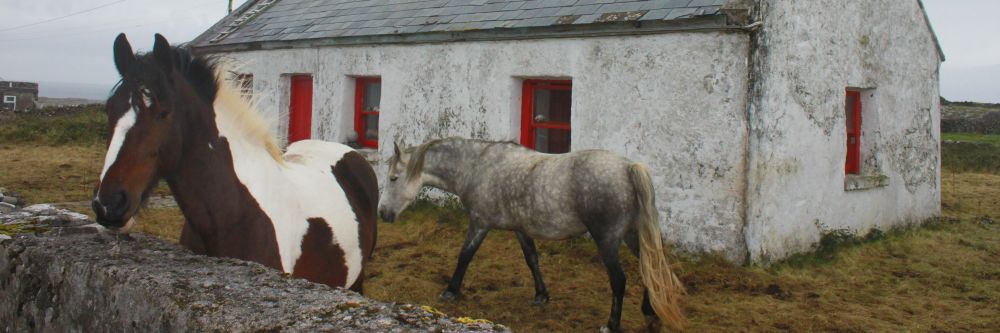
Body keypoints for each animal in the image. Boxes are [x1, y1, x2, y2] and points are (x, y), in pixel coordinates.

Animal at [378, 136, 684, 330]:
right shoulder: (520, 229)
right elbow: (532, 260)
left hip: (607, 240)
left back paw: (611, 325)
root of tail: (627, 167)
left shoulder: (479, 223)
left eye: (393, 178)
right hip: (633, 235)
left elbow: (465, 256)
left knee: (619, 280)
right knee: (650, 269)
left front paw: (451, 291)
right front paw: (541, 296)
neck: (478, 167)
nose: (382, 213)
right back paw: (650, 313)